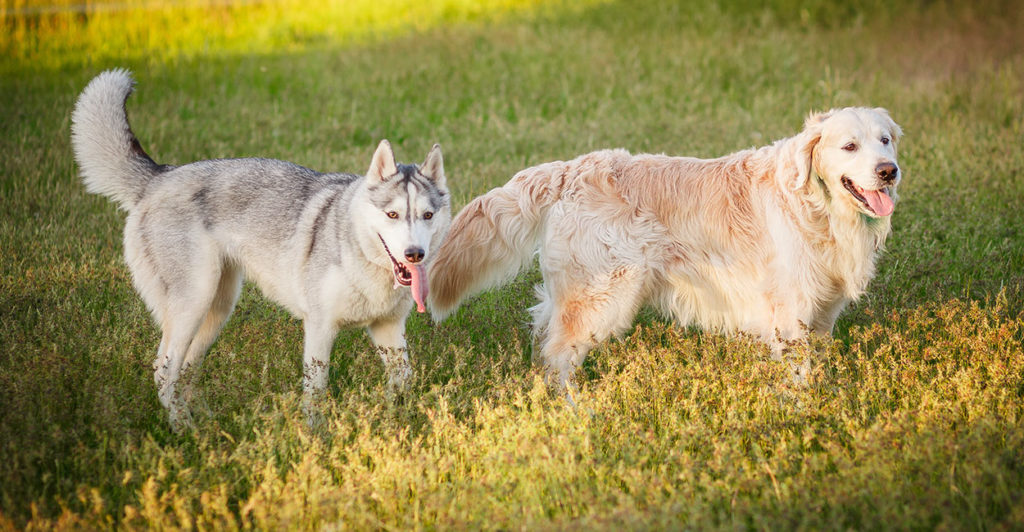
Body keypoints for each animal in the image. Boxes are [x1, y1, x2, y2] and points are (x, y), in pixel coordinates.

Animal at [72, 70, 452, 427]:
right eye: (392, 214)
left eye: (427, 215)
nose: (414, 254)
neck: (362, 254)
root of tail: (159, 176)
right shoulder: (319, 328)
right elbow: (316, 391)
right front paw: (316, 436)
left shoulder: (388, 328)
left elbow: (403, 381)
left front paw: (398, 424)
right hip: (193, 302)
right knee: (164, 372)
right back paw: (185, 430)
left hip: (217, 308)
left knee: (187, 371)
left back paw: (207, 425)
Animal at [428, 105, 901, 384]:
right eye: (849, 146)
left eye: (885, 140)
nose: (888, 171)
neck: (816, 206)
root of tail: (569, 169)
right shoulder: (790, 315)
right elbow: (798, 378)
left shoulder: (822, 315)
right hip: (605, 296)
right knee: (559, 356)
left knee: (544, 330)